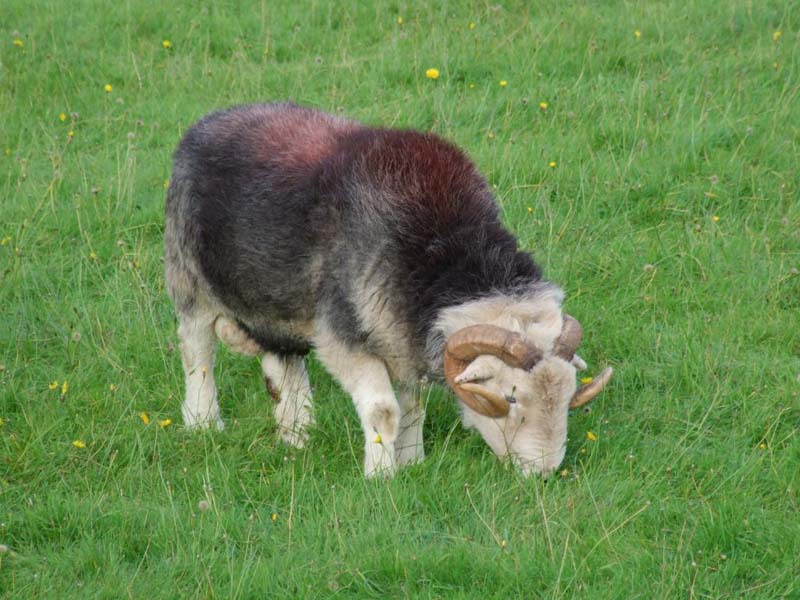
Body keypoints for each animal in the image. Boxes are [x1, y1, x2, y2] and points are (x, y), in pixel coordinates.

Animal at [164, 103, 612, 478]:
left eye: (568, 393)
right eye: (512, 397)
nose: (544, 472)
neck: (443, 248)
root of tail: (212, 119)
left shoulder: (402, 337)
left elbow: (414, 403)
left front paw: (412, 459)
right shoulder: (343, 336)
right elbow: (383, 410)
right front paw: (381, 476)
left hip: (274, 301)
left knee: (283, 363)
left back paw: (297, 434)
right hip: (189, 282)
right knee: (197, 353)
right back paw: (204, 423)